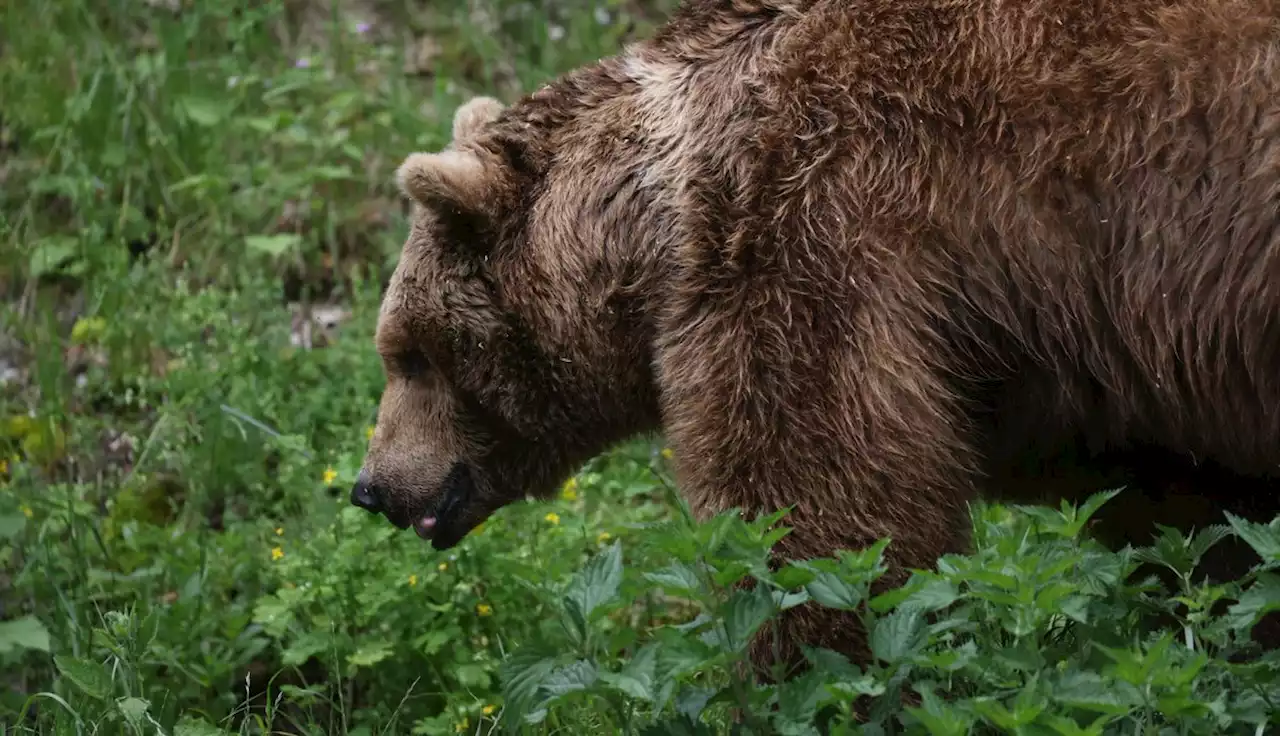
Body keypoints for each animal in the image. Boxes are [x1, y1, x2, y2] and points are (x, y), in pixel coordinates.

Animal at [355, 0, 1280, 680]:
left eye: (409, 352)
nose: (372, 487)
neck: (649, 225)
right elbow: (1191, 505)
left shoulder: (808, 230)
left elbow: (822, 514)